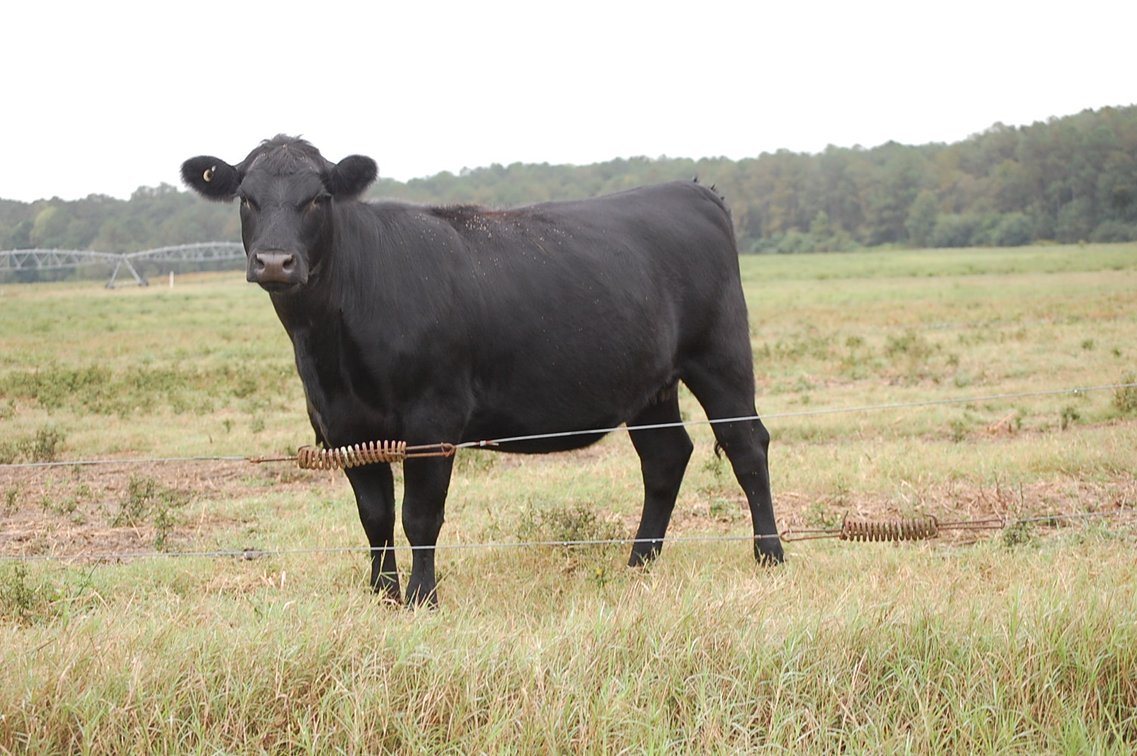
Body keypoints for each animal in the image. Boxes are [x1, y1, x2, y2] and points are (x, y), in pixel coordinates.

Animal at [182, 136, 783, 606]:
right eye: (246, 197)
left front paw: (421, 598)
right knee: (664, 457)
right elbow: (374, 516)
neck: (329, 347)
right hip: (650, 382)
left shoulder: (433, 416)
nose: (275, 262)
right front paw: (381, 595)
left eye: (319, 197)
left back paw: (770, 556)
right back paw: (639, 563)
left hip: (720, 355)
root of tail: (693, 189)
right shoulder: (340, 425)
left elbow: (419, 515)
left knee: (746, 445)